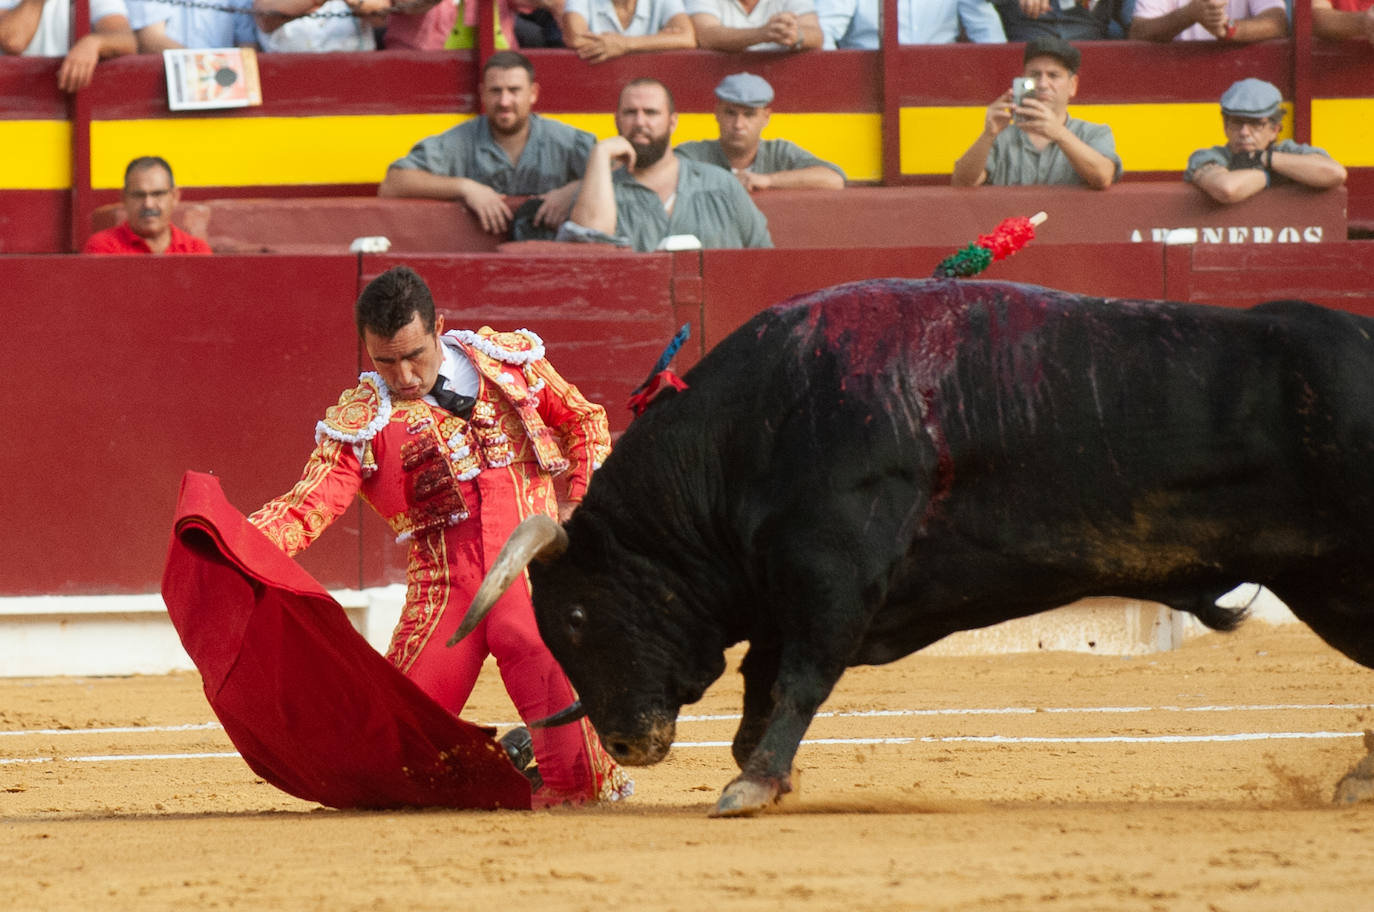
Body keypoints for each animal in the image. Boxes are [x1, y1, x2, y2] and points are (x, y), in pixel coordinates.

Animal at [456, 276, 1374, 813]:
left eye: (576, 619)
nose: (625, 744)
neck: (750, 431)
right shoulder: (790, 584)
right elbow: (764, 678)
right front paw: (764, 771)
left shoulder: (831, 572)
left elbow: (798, 677)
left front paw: (753, 781)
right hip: (1329, 582)